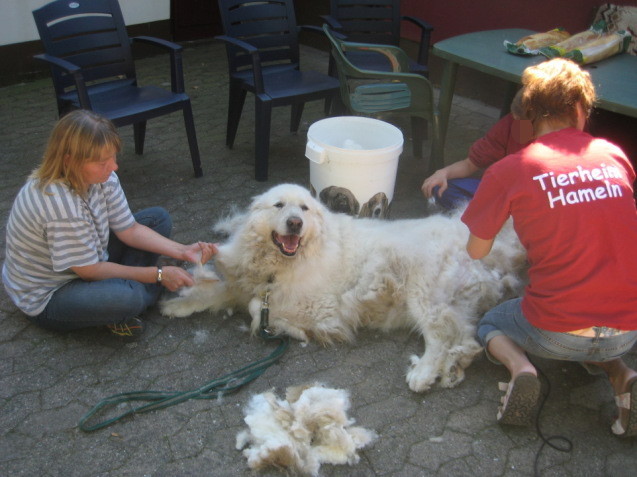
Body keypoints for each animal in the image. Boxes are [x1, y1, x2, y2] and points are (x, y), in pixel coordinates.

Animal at [161, 182, 524, 390]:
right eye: (279, 206)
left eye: (304, 208)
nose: (296, 222)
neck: (280, 263)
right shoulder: (245, 284)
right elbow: (219, 291)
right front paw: (176, 304)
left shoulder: (318, 304)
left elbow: (256, 309)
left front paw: (286, 329)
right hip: (452, 303)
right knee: (468, 338)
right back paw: (453, 368)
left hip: (420, 291)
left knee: (440, 337)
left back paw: (425, 373)